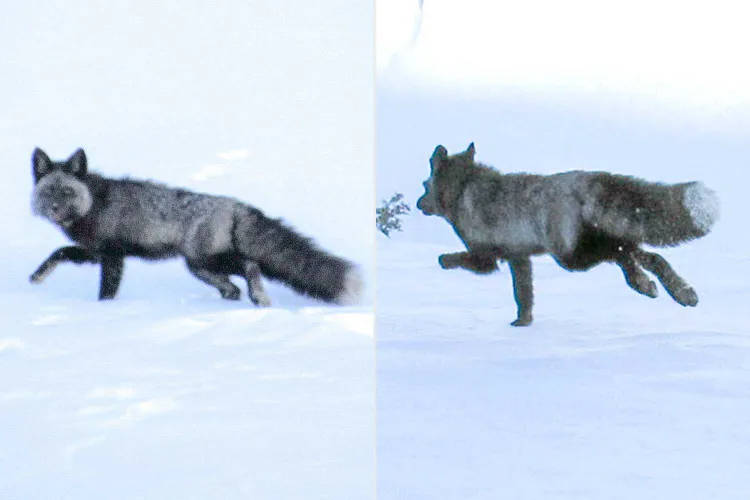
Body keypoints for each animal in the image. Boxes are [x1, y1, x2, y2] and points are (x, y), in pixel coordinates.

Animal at [30, 148, 363, 306]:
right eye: (48, 192)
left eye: (67, 192)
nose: (54, 210)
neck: (93, 204)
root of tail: (235, 204)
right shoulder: (94, 252)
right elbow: (59, 252)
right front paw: (37, 277)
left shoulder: (112, 256)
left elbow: (106, 291)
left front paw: (103, 311)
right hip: (200, 267)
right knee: (233, 287)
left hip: (206, 259)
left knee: (250, 265)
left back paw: (259, 297)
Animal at [416, 142, 720, 326]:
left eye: (424, 185)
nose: (419, 205)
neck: (463, 190)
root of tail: (586, 179)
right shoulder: (519, 257)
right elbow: (523, 295)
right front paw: (522, 323)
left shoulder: (487, 257)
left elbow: (452, 258)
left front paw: (443, 262)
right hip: (592, 242)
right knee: (647, 255)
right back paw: (677, 291)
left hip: (572, 256)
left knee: (624, 254)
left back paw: (648, 285)